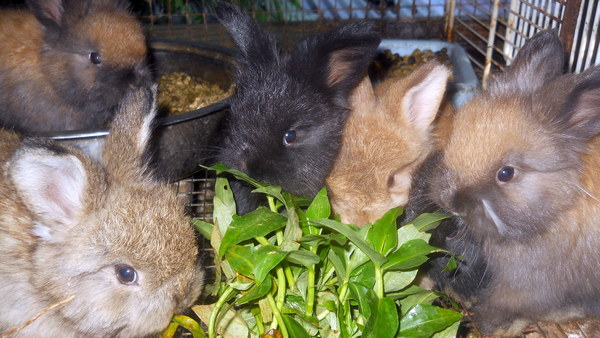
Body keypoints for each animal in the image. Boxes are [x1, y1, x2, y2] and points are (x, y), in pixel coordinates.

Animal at [426, 29, 600, 336]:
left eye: (506, 173)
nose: (452, 202)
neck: (561, 207)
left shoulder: (526, 288)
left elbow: (499, 311)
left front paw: (481, 325)